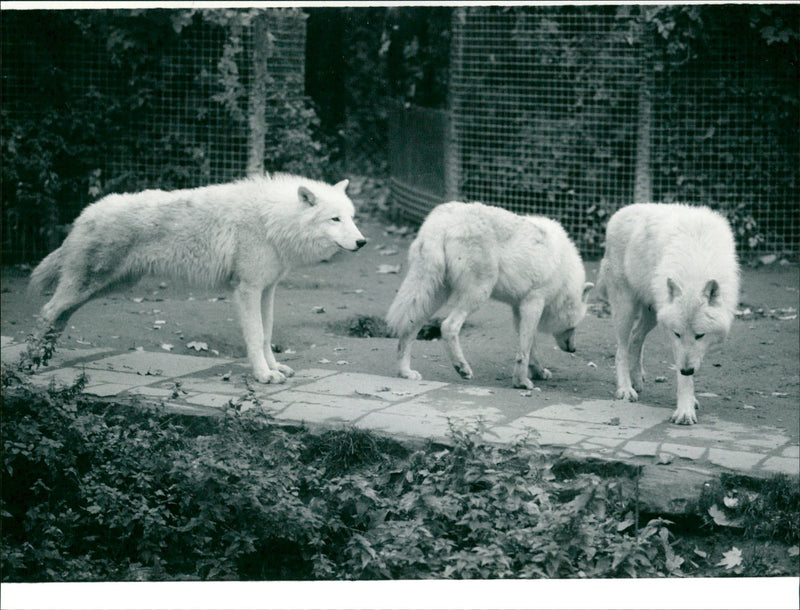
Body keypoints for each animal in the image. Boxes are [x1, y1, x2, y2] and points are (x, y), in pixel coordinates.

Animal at [28, 173, 367, 383]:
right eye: (334, 219)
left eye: (351, 218)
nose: (362, 242)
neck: (274, 219)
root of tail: (85, 214)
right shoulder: (247, 290)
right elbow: (255, 335)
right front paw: (263, 376)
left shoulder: (267, 289)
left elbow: (267, 335)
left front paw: (274, 369)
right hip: (91, 285)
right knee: (47, 311)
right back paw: (31, 362)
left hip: (105, 287)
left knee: (60, 315)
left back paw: (47, 357)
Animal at [386, 201, 593, 389]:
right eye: (574, 326)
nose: (573, 348)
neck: (565, 277)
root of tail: (441, 223)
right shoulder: (533, 304)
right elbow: (524, 351)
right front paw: (522, 382)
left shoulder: (519, 309)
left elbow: (531, 348)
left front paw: (539, 372)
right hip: (477, 293)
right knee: (448, 326)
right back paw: (462, 368)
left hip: (433, 295)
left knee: (409, 328)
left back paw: (405, 372)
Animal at [597, 203, 740, 424]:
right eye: (677, 334)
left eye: (700, 335)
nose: (687, 369)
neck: (695, 265)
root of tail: (620, 212)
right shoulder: (675, 340)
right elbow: (684, 379)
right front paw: (685, 410)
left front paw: (689, 401)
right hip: (626, 308)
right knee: (621, 349)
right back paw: (626, 389)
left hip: (652, 315)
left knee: (635, 338)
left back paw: (637, 379)